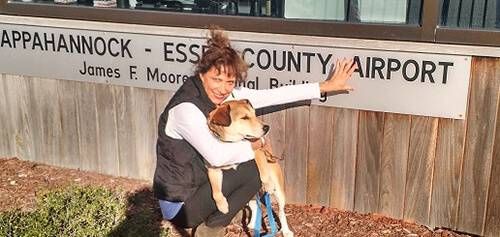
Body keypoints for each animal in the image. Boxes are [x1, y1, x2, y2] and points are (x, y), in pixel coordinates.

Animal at [207, 99, 292, 237]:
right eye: (245, 118)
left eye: (254, 114)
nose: (267, 127)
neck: (231, 145)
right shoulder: (212, 169)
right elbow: (216, 191)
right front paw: (222, 206)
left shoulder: (256, 150)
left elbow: (263, 171)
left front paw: (268, 184)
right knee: (254, 205)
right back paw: (253, 225)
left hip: (279, 191)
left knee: (281, 211)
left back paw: (286, 230)